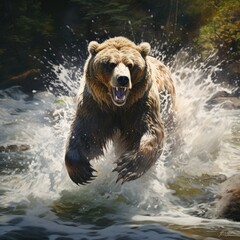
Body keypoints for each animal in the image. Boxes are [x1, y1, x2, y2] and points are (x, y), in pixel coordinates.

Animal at [64, 36, 175, 185]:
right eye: (111, 64)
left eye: (131, 65)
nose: (123, 79)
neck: (117, 106)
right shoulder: (95, 106)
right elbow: (85, 132)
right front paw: (81, 172)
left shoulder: (141, 105)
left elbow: (152, 131)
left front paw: (127, 167)